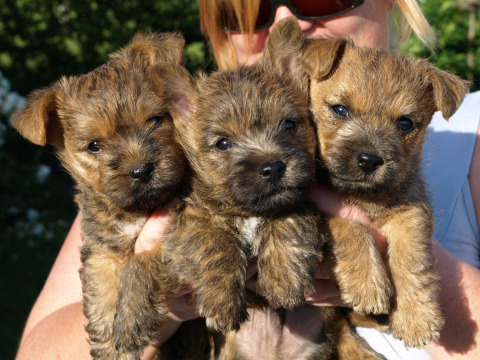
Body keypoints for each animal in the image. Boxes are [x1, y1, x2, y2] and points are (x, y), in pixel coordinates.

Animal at [11, 32, 188, 358]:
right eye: (95, 145)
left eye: (156, 119)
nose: (141, 170)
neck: (137, 212)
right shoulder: (102, 246)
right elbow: (100, 287)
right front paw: (109, 343)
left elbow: (143, 265)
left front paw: (131, 320)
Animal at [304, 35, 468, 348]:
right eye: (339, 109)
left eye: (405, 123)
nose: (369, 159)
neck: (367, 197)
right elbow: (348, 226)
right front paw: (367, 283)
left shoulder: (411, 210)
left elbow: (411, 258)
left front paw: (417, 316)